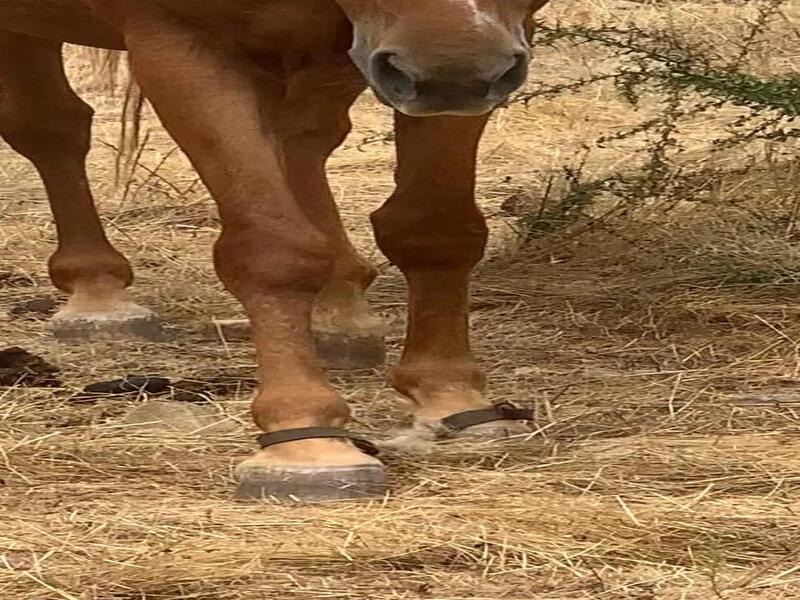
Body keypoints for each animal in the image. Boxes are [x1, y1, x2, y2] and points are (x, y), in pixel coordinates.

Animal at [0, 0, 547, 501]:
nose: (452, 65)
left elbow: (435, 229)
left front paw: (452, 397)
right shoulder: (181, 43)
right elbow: (272, 250)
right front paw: (305, 438)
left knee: (304, 137)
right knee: (48, 125)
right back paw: (96, 295)